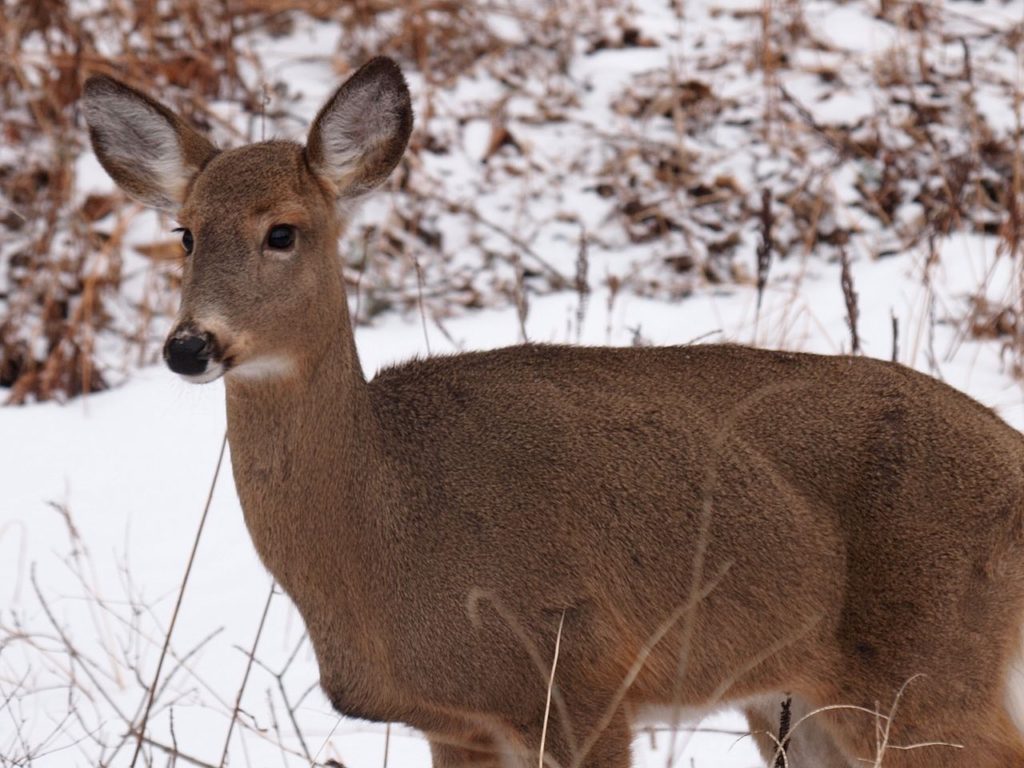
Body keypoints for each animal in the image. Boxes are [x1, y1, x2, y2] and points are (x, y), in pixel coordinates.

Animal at [81, 61, 1024, 768]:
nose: (190, 345)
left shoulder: (581, 677)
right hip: (801, 700)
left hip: (926, 673)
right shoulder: (453, 722)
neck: (381, 528)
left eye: (282, 231)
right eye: (184, 233)